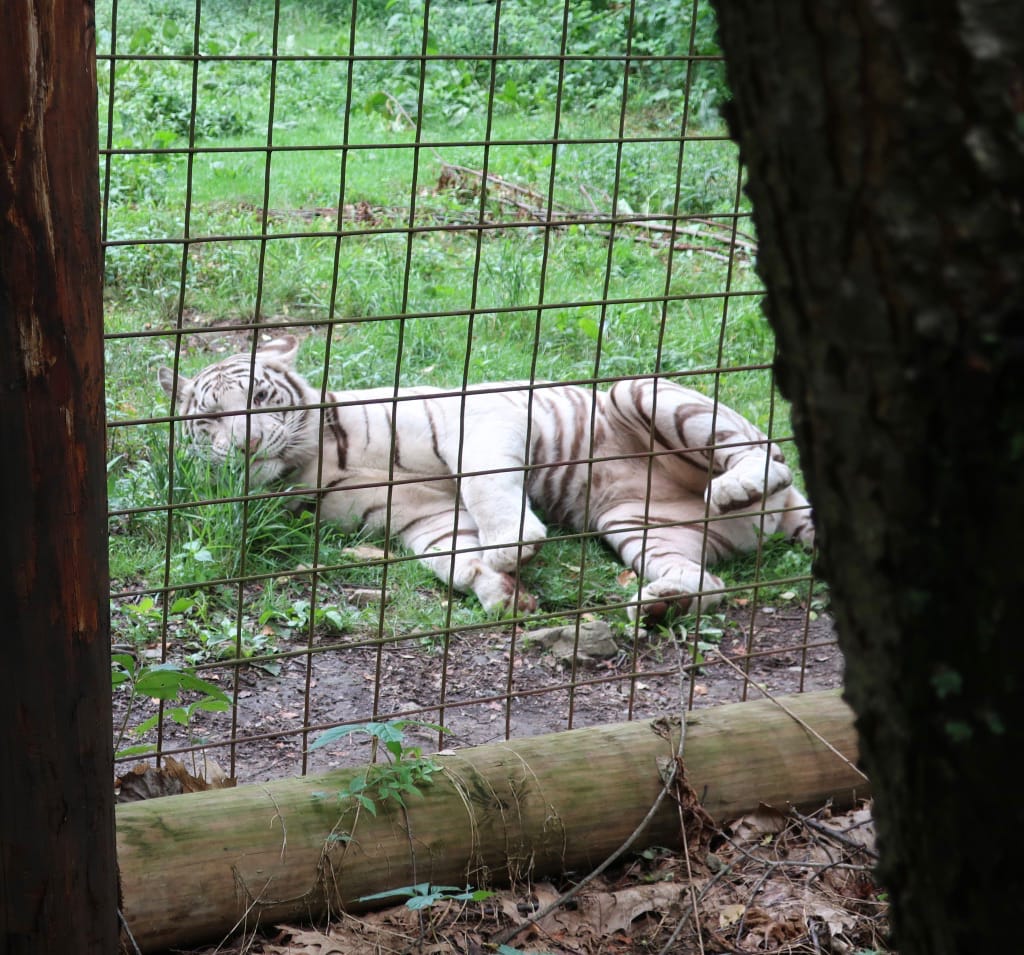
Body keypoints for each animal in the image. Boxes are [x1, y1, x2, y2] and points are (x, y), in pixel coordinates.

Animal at [157, 339, 815, 622]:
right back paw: (660, 602)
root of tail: (783, 511)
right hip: (638, 525)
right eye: (209, 419)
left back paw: (735, 486)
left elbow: (482, 481)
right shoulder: (421, 516)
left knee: (770, 453)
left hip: (643, 390)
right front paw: (501, 590)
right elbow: (454, 555)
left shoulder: (479, 418)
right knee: (710, 584)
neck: (313, 460)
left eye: (258, 398)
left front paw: (514, 544)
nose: (245, 444)